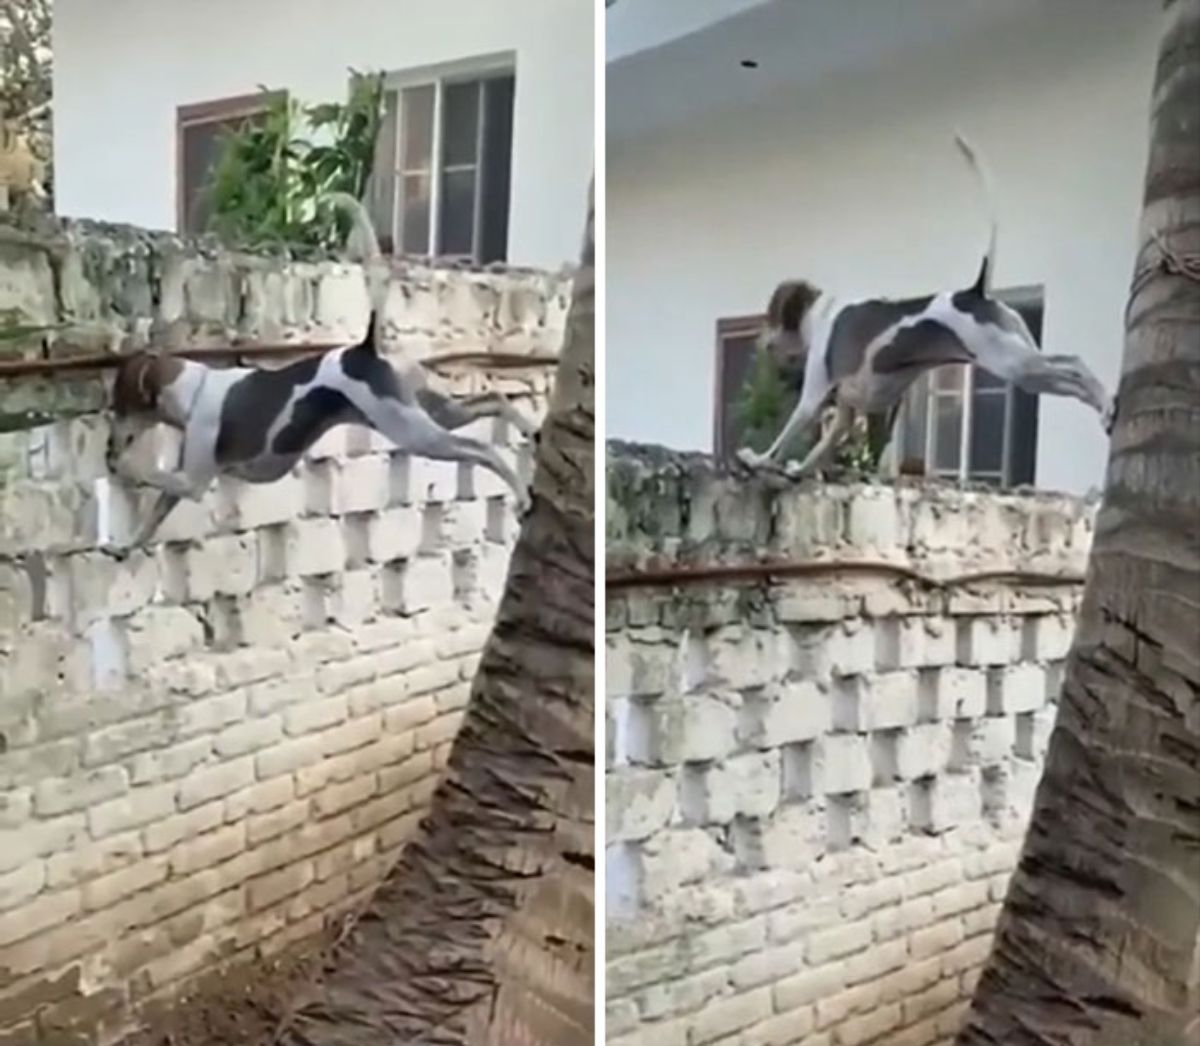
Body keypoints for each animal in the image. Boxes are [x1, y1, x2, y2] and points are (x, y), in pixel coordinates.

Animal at [105, 196, 537, 556]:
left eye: (119, 405)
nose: (110, 446)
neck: (193, 391)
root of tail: (365, 347)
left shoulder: (191, 481)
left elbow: (149, 474)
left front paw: (124, 466)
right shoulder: (179, 486)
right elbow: (152, 518)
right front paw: (126, 546)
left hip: (416, 432)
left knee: (482, 450)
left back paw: (521, 494)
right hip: (429, 409)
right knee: (493, 400)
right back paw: (528, 428)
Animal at [734, 132, 1118, 475]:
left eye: (770, 317)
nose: (760, 343)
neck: (819, 317)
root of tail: (976, 291)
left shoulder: (813, 397)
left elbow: (783, 439)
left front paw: (758, 459)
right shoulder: (845, 412)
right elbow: (821, 448)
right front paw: (799, 470)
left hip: (1013, 362)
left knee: (1073, 363)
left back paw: (1106, 402)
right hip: (1024, 367)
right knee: (1070, 376)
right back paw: (1105, 410)